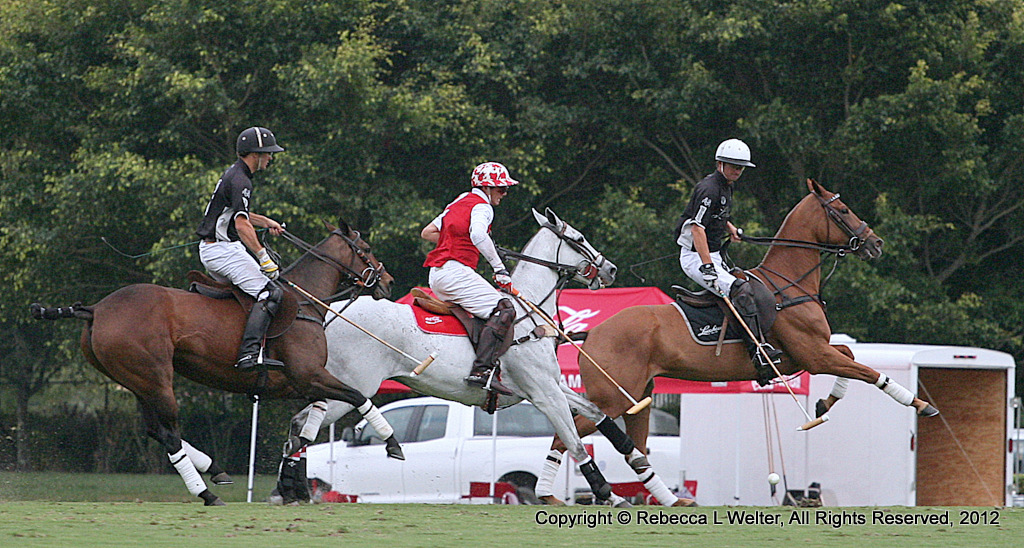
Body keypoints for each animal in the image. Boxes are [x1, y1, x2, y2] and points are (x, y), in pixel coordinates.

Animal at [30, 220, 401, 505]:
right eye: (365, 248)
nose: (388, 281)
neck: (305, 301)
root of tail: (97, 308)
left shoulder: (302, 382)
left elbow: (314, 416)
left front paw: (294, 471)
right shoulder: (308, 375)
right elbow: (358, 396)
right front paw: (393, 444)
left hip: (135, 380)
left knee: (155, 430)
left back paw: (216, 471)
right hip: (156, 378)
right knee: (170, 433)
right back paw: (206, 492)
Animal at [278, 209, 637, 504]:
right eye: (579, 238)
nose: (611, 269)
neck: (530, 311)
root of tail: (328, 312)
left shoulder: (548, 387)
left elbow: (597, 412)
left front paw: (634, 457)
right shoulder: (544, 393)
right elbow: (574, 441)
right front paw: (609, 494)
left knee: (300, 423)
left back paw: (292, 487)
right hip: (355, 385)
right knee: (307, 422)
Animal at [534, 179, 940, 506]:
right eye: (842, 210)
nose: (876, 243)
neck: (788, 284)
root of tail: (591, 332)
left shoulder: (807, 356)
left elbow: (851, 356)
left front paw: (823, 403)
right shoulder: (813, 354)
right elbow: (868, 372)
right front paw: (920, 404)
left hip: (639, 399)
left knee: (634, 451)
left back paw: (671, 500)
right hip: (612, 398)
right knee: (564, 435)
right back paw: (550, 495)